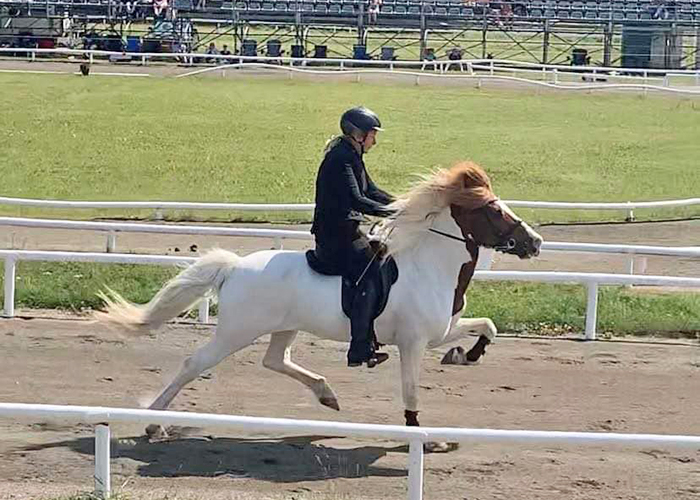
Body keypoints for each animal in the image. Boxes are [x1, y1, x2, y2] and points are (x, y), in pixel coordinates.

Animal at [97, 161, 540, 438]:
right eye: (492, 210)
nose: (534, 242)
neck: (430, 265)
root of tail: (236, 266)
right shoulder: (413, 343)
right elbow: (411, 389)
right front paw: (426, 438)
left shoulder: (439, 332)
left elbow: (488, 327)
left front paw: (468, 354)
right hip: (238, 331)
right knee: (195, 364)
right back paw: (153, 423)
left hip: (284, 327)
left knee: (274, 360)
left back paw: (327, 394)